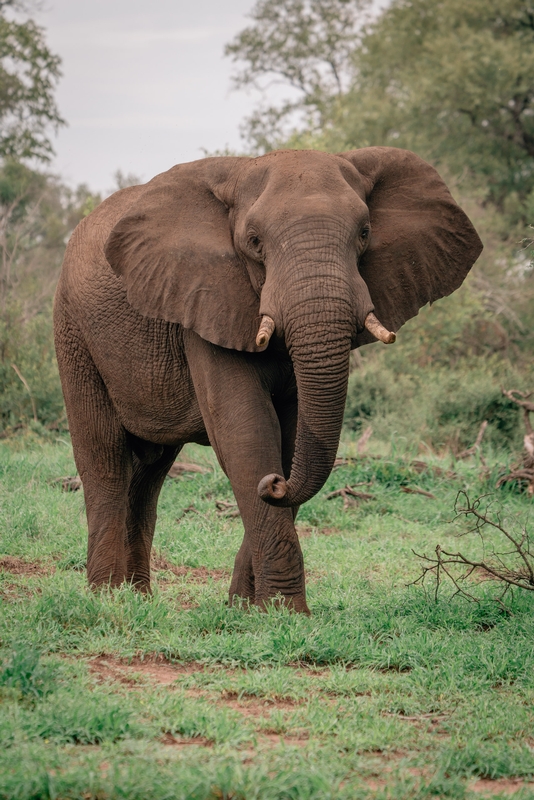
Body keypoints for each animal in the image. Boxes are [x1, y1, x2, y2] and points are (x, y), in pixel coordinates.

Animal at [54, 148, 486, 612]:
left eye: (365, 233)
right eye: (255, 241)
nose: (275, 483)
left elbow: (290, 437)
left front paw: (248, 609)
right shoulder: (206, 295)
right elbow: (246, 432)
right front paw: (286, 612)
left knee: (150, 471)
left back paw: (137, 598)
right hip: (74, 333)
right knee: (105, 458)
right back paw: (106, 598)